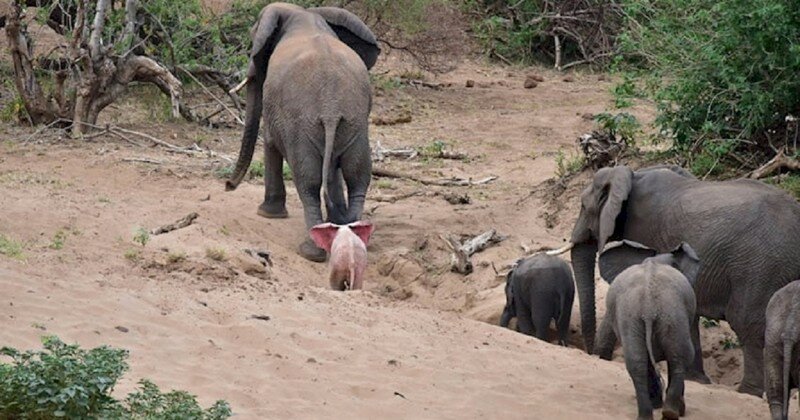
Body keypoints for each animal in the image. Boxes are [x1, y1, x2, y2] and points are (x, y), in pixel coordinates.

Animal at [222, 1, 378, 260]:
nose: (227, 185)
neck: (303, 13)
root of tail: (331, 109)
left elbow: (270, 141)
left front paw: (267, 214)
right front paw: (337, 221)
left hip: (302, 127)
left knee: (309, 181)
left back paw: (311, 251)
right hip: (354, 125)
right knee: (357, 176)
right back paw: (352, 234)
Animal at [556, 165, 800, 398]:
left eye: (583, 206)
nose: (590, 353)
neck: (632, 174)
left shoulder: (643, 230)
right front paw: (697, 380)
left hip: (760, 267)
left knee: (746, 323)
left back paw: (747, 392)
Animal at [592, 240, 700, 420]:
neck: (654, 260)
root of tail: (648, 306)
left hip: (636, 316)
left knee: (639, 362)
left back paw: (655, 413)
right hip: (669, 313)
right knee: (680, 357)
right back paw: (671, 411)